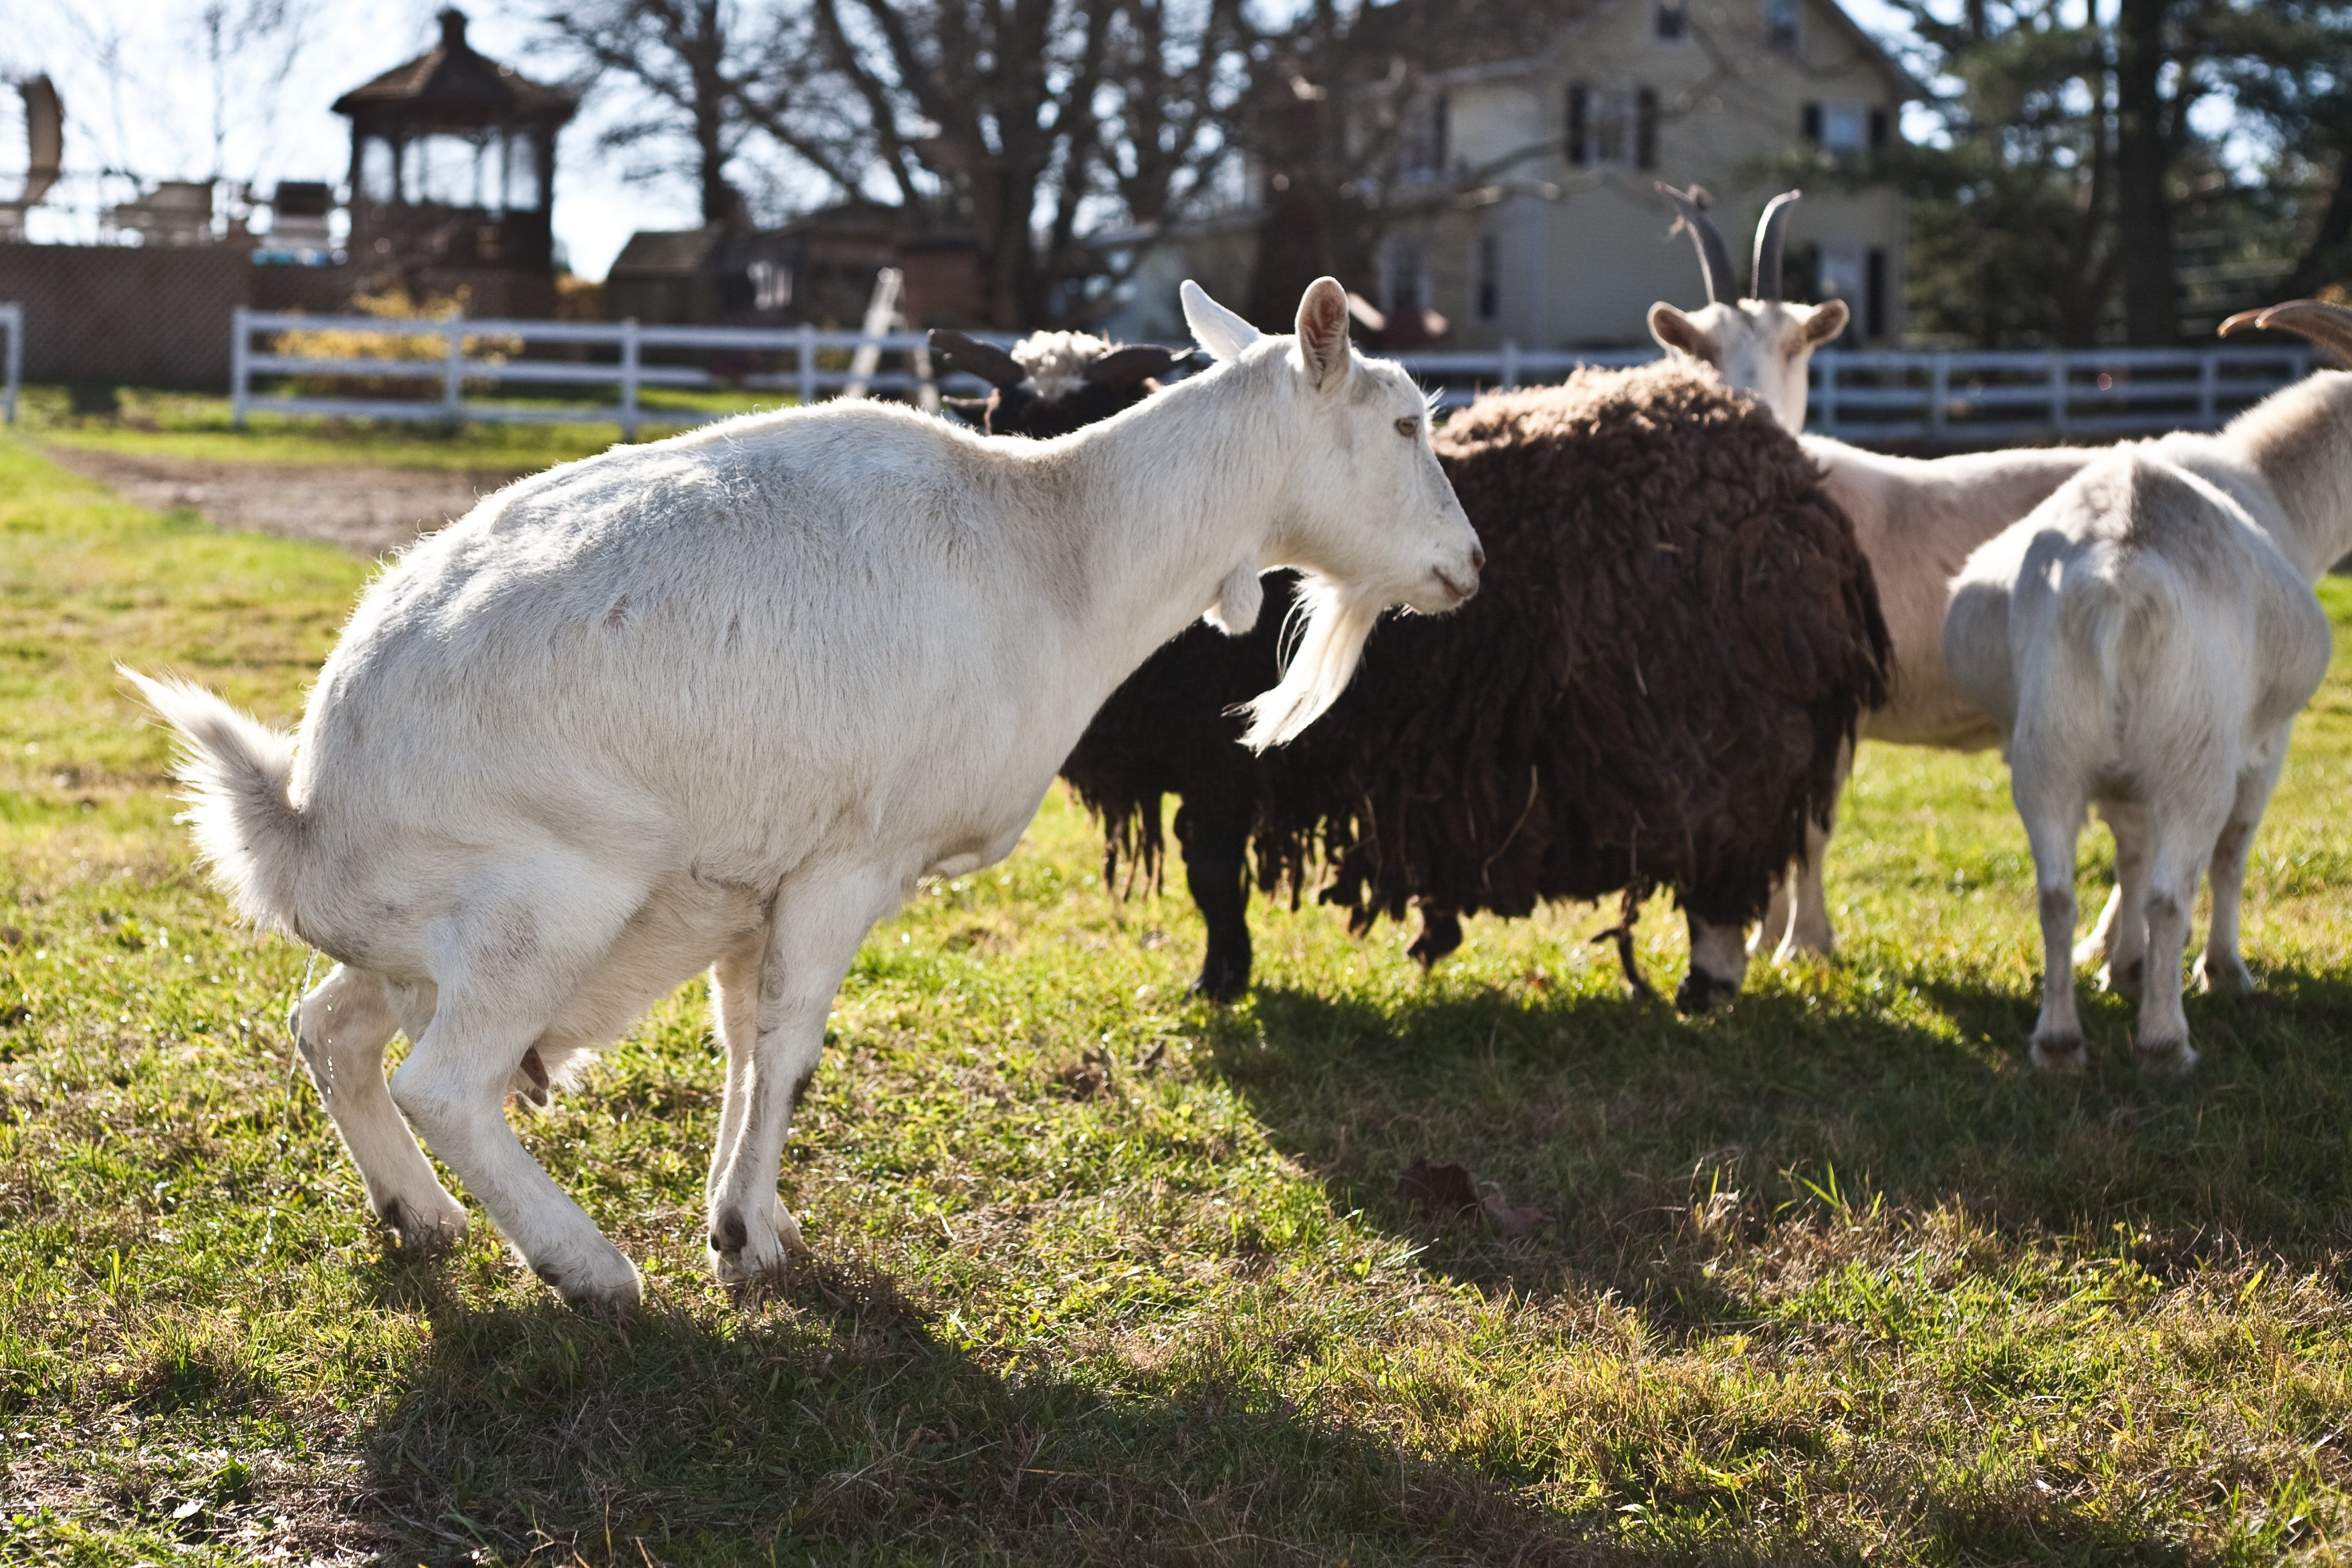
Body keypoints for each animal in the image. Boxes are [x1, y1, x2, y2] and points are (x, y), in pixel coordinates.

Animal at [124, 277, 1483, 1309]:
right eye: (1405, 424)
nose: (1469, 565)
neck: (1056, 549)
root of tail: (303, 814)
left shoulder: (751, 880)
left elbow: (743, 1042)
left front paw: (746, 1219)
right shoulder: (848, 861)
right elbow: (792, 1048)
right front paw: (745, 1240)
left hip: (428, 936)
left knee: (327, 1028)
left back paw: (419, 1215)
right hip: (547, 903)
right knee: (442, 1083)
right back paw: (587, 1267)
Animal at [1942, 298, 2352, 1074]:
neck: (2273, 490)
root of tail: (2119, 575)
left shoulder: (2123, 772)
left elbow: (2129, 851)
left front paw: (2119, 962)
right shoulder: (2264, 743)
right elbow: (2230, 852)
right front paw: (2222, 972)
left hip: (2049, 746)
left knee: (2054, 893)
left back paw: (2059, 1042)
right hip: (2194, 753)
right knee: (2174, 889)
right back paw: (2166, 1043)